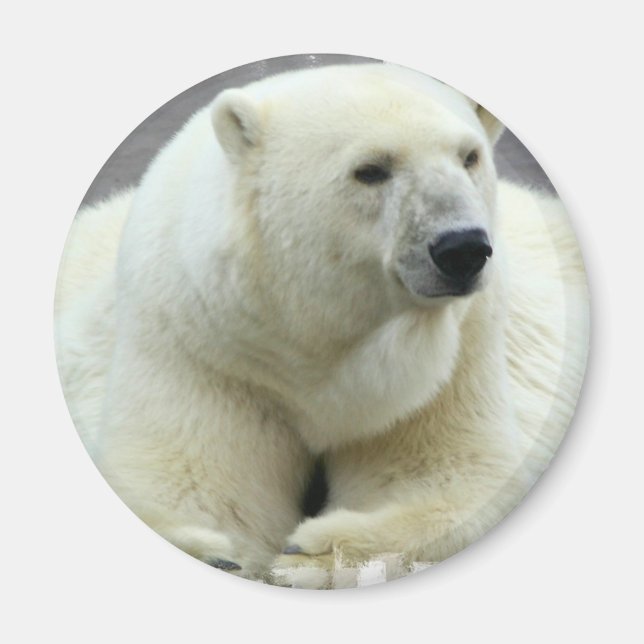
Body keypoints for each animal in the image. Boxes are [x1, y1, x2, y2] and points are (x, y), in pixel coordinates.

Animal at [55, 62, 589, 588]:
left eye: (469, 157)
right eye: (370, 170)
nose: (462, 248)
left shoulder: (457, 352)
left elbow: (447, 477)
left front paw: (312, 554)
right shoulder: (200, 343)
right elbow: (198, 486)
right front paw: (215, 551)